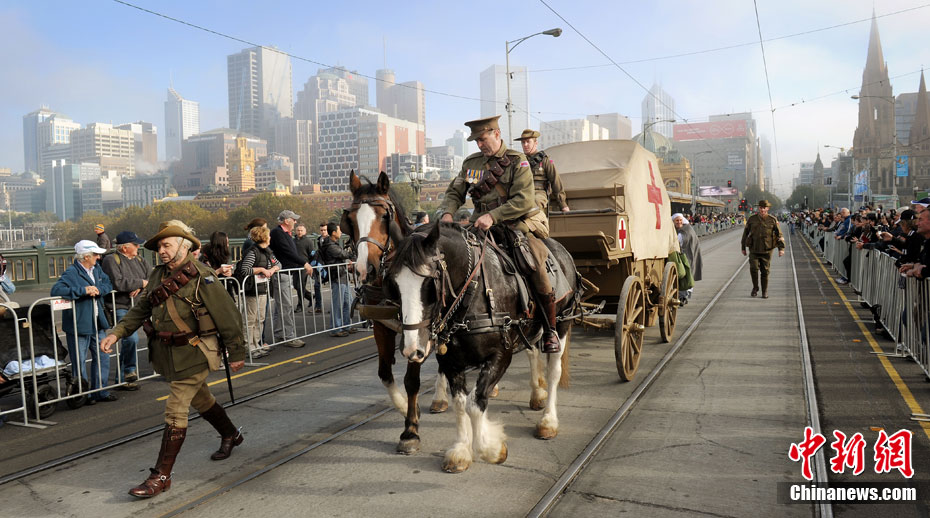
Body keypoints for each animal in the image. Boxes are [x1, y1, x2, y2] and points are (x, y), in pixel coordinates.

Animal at [341, 171, 450, 455]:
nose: (364, 268)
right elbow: (385, 374)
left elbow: (412, 380)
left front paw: (410, 431)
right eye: (350, 220)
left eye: (384, 217)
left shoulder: (419, 330)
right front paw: (406, 408)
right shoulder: (381, 327)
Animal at [384, 221, 578, 473]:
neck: (472, 294)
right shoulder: (450, 361)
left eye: (429, 282)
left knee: (554, 370)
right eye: (394, 283)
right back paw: (537, 394)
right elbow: (460, 403)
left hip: (562, 322)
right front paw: (461, 450)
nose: (412, 349)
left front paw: (491, 448)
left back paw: (548, 421)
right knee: (532, 352)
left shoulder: (500, 356)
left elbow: (475, 404)